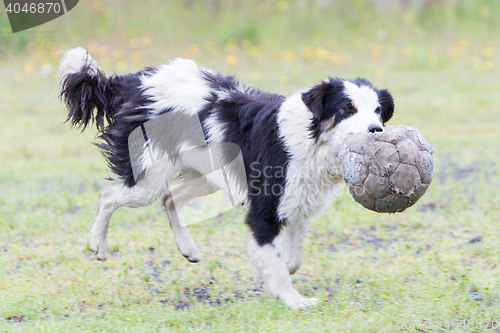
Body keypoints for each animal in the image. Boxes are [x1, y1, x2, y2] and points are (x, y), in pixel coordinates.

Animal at [57, 46, 394, 308]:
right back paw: (98, 243)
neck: (311, 141)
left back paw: (188, 249)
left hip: (205, 174)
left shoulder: (299, 205)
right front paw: (293, 299)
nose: (377, 130)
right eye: (347, 108)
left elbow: (291, 259)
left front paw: (277, 272)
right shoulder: (263, 211)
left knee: (169, 198)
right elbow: (278, 262)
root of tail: (134, 84)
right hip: (148, 178)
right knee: (110, 196)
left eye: (378, 111)